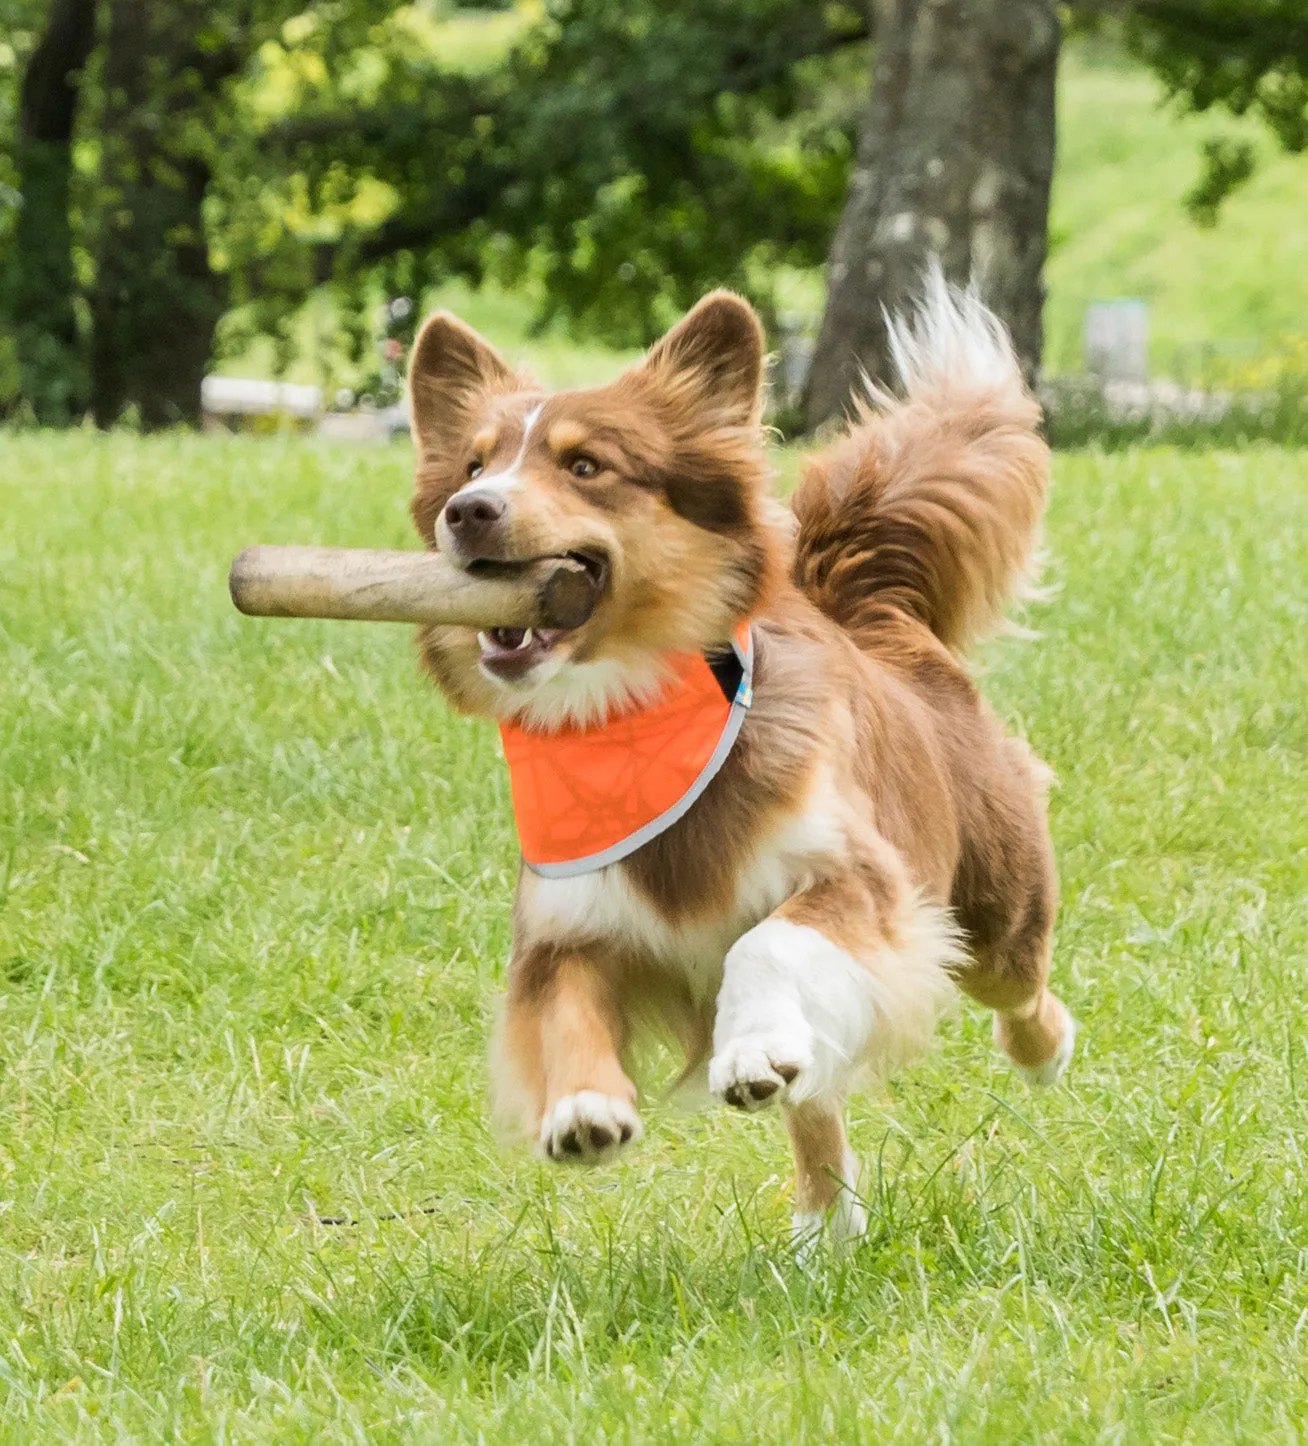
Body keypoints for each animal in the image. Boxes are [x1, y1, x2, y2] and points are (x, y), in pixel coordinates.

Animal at [404, 271, 1069, 1243]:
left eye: (586, 466)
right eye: (471, 467)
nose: (469, 512)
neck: (625, 721)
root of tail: (864, 619)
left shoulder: (861, 877)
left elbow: (767, 939)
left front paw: (748, 1045)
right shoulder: (563, 929)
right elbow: (561, 1008)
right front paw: (583, 1109)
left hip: (992, 908)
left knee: (1018, 989)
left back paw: (1038, 1053)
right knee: (816, 1099)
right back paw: (827, 1227)